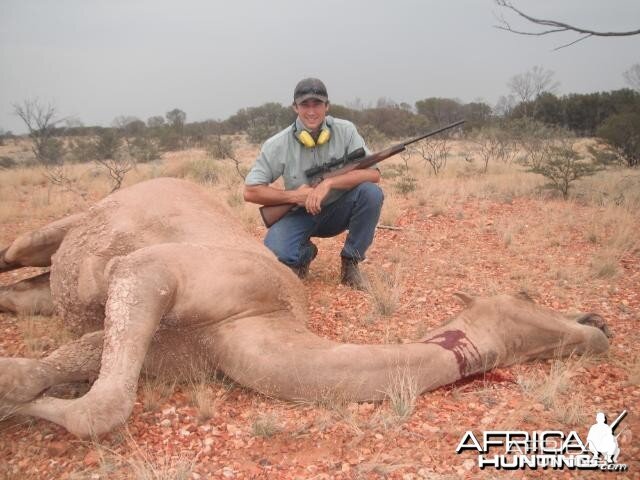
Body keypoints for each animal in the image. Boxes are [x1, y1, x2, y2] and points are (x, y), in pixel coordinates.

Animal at [0, 177, 608, 438]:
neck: (250, 321)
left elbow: (66, 382)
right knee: (14, 252)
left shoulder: (166, 348)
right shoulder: (147, 272)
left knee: (24, 291)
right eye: (527, 296)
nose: (597, 324)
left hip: (54, 282)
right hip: (63, 228)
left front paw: (22, 397)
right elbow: (97, 406)